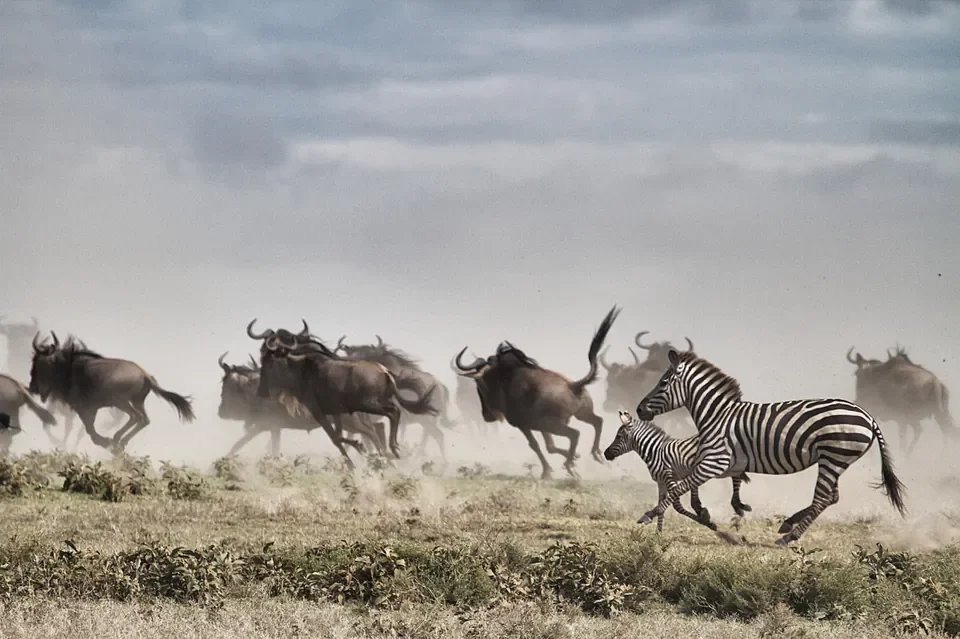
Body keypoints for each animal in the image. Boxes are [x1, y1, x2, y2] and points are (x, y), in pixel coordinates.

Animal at [604, 409, 752, 533]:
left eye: (618, 436)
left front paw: (707, 522)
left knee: (737, 478)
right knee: (737, 477)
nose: (606, 453)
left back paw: (738, 505)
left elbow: (676, 506)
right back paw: (738, 505)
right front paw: (658, 534)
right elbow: (661, 504)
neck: (654, 452)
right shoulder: (661, 482)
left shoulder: (670, 477)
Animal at [634, 349, 907, 546]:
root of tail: (868, 416)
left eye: (663, 383)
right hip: (836, 459)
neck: (717, 415)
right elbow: (712, 489)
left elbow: (676, 490)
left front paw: (648, 515)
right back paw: (788, 524)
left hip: (833, 457)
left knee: (822, 498)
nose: (639, 409)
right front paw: (716, 511)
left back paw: (789, 536)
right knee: (832, 497)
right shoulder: (724, 462)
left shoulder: (715, 462)